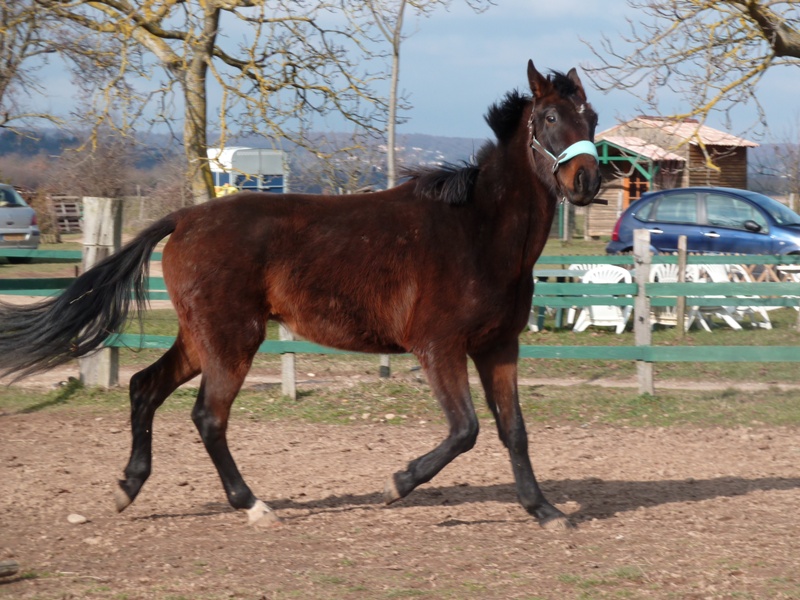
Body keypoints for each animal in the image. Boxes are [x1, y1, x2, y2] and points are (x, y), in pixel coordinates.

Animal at [0, 61, 600, 528]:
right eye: (550, 118)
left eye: (590, 118)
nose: (587, 181)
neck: (480, 231)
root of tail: (185, 217)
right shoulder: (439, 347)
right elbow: (466, 430)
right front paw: (397, 483)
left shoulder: (499, 347)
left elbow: (513, 430)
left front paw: (546, 511)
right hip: (233, 340)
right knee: (208, 417)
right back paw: (252, 505)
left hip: (202, 338)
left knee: (145, 388)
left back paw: (128, 487)